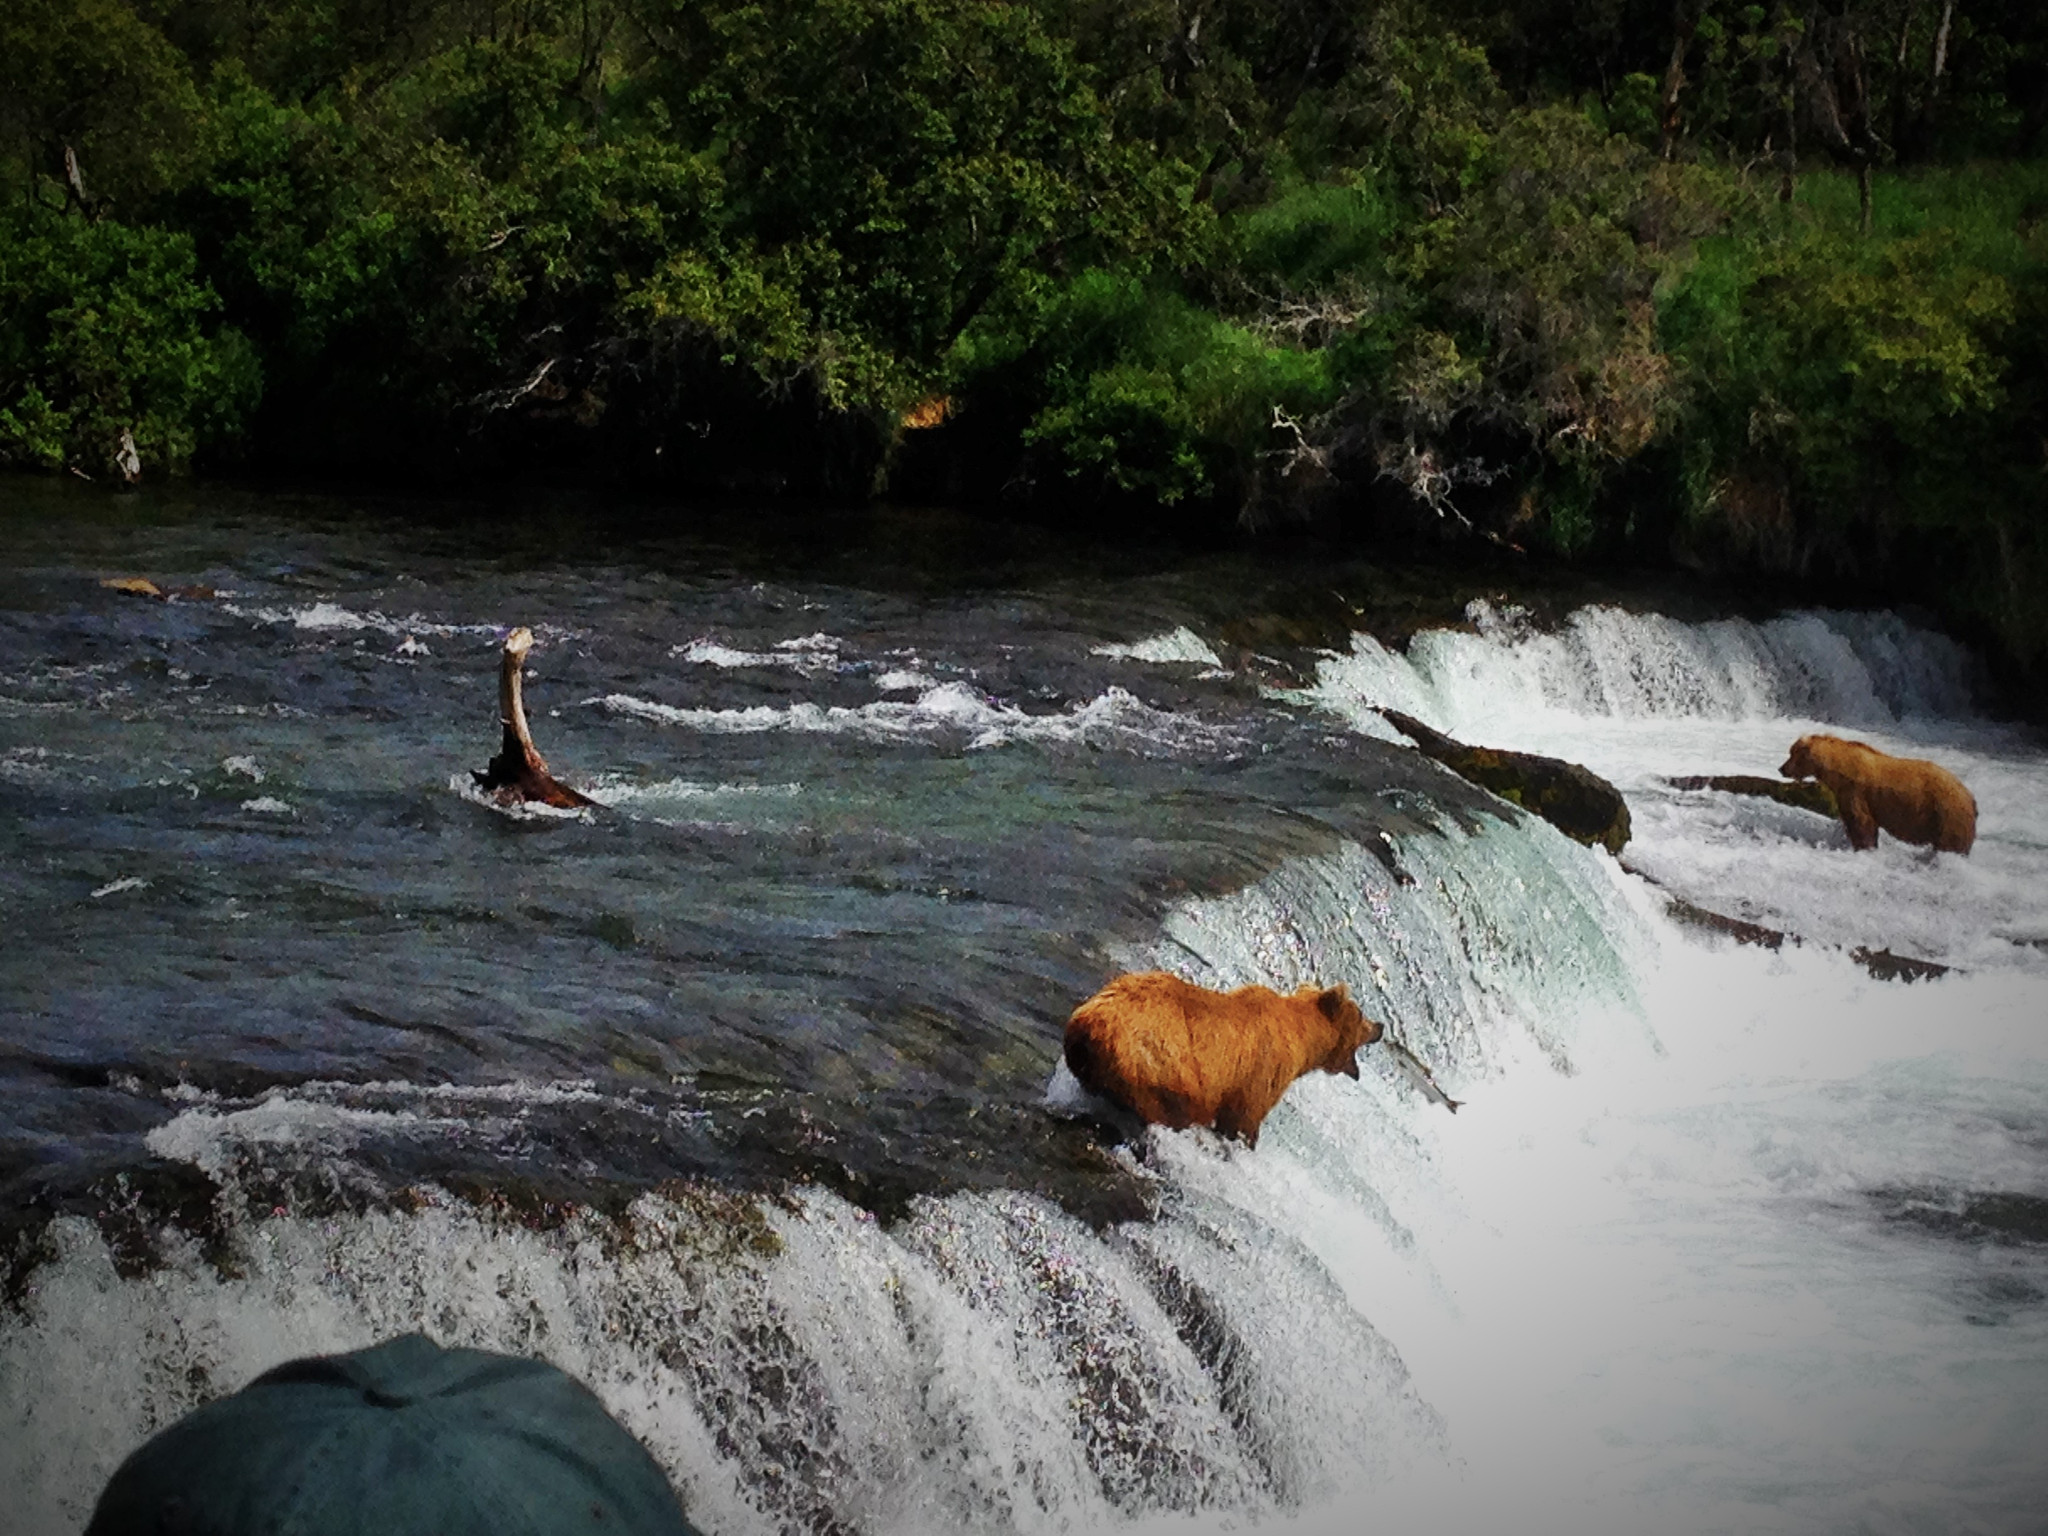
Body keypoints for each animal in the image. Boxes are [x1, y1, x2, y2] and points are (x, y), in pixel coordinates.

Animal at [1064, 966, 1384, 1146]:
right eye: (1361, 1016)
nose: (1380, 1027)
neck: (1303, 1042)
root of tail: (1090, 1023)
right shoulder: (1261, 1072)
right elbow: (1243, 1121)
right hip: (1163, 1068)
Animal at [1785, 733, 1974, 856]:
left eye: (1792, 754)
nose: (1782, 768)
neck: (1836, 770)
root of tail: (1970, 797)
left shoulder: (1856, 792)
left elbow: (1862, 823)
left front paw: (1863, 848)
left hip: (1947, 815)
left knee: (1951, 846)